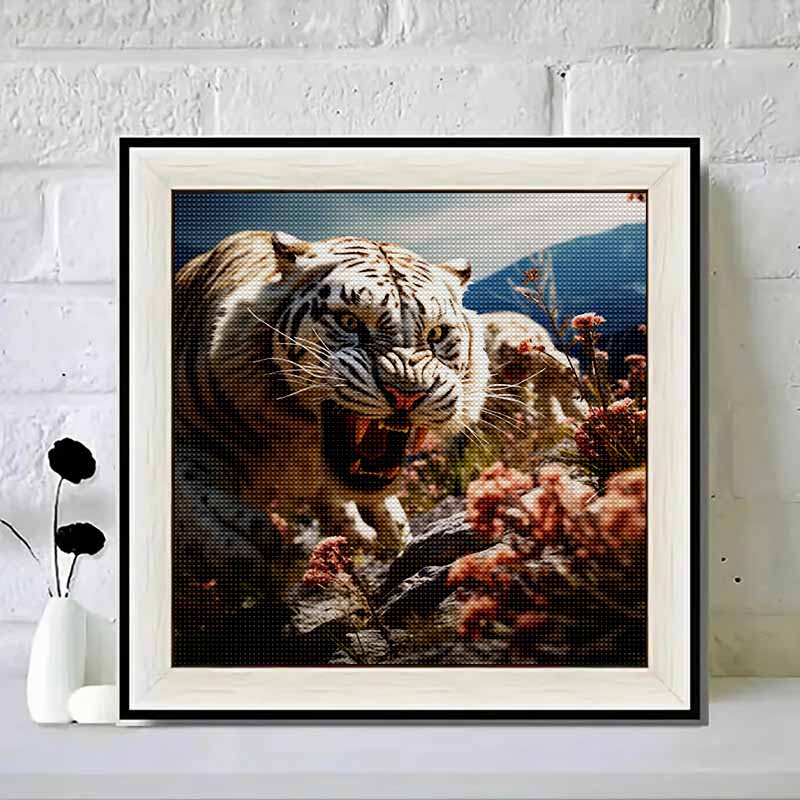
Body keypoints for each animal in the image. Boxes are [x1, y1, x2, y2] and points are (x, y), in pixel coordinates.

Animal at [174, 231, 489, 561]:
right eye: (349, 322)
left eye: (437, 334)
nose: (406, 394)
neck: (296, 437)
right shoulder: (184, 438)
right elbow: (191, 489)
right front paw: (246, 538)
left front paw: (392, 535)